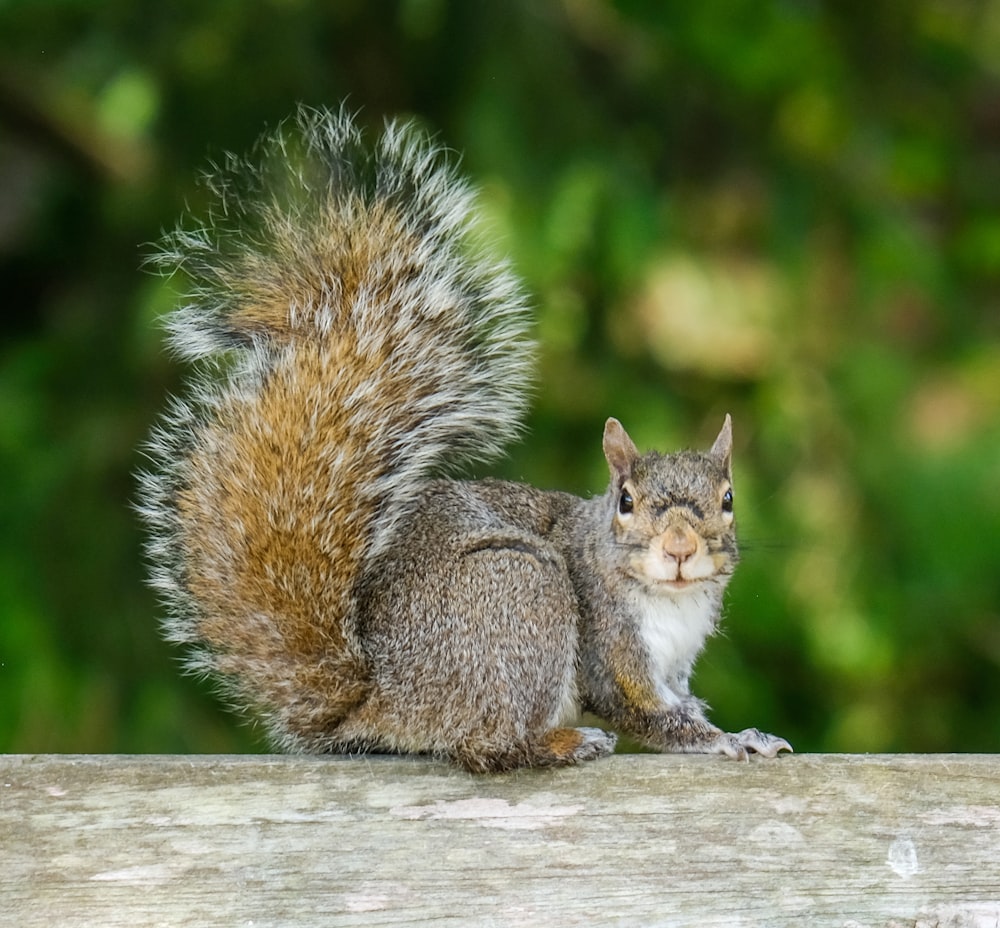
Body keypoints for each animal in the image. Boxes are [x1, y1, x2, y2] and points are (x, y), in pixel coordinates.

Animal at [139, 105, 788, 772]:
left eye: (728, 499)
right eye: (626, 500)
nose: (681, 547)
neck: (671, 603)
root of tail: (383, 698)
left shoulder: (673, 668)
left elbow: (679, 702)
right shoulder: (610, 649)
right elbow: (649, 715)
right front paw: (727, 739)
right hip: (523, 590)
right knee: (490, 745)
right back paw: (563, 741)